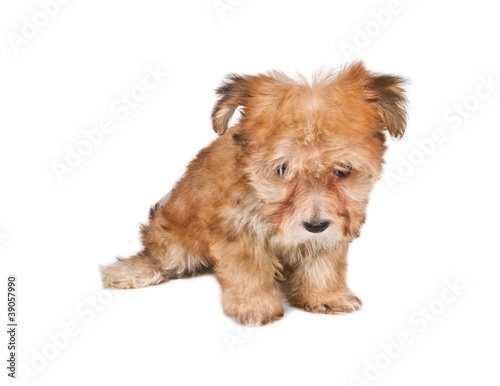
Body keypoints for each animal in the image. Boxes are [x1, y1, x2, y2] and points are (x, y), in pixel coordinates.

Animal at [99, 61, 408, 326]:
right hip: (172, 239)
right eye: (282, 169)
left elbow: (323, 263)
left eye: (343, 171)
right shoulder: (237, 229)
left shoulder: (332, 229)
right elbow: (248, 270)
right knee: (160, 257)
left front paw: (325, 295)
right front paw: (255, 306)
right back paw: (130, 271)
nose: (315, 225)